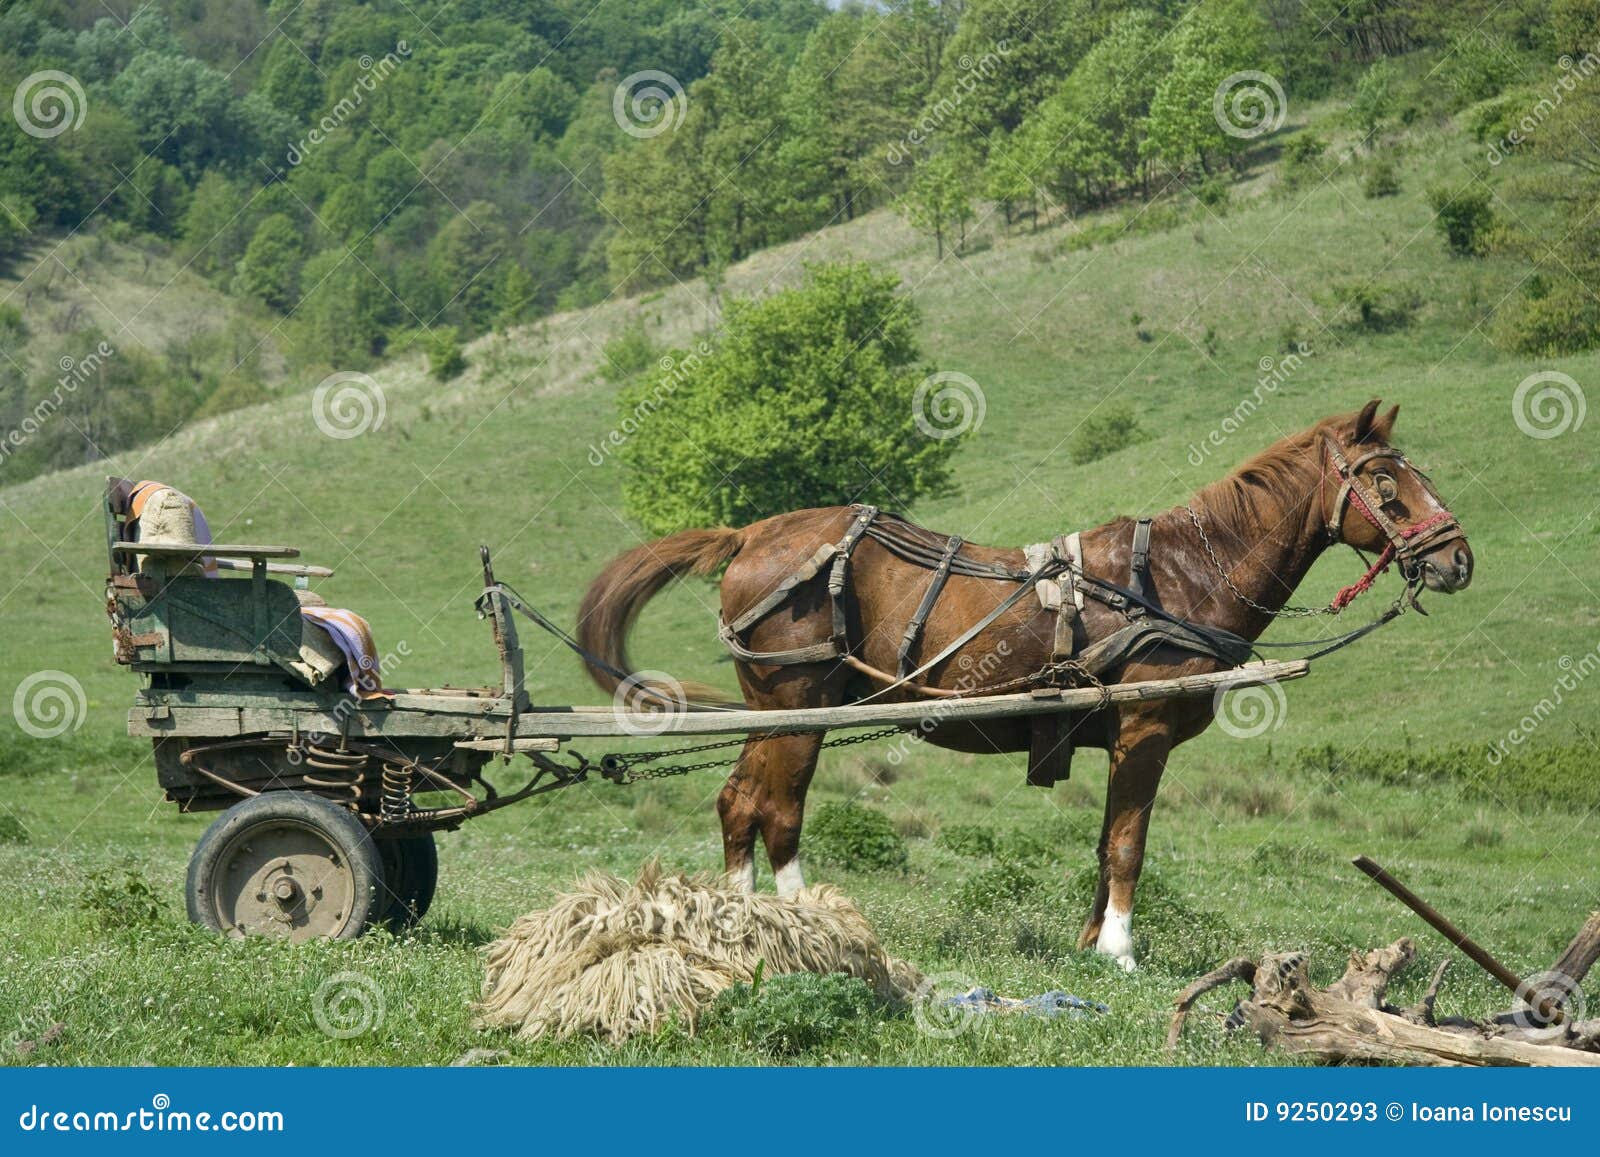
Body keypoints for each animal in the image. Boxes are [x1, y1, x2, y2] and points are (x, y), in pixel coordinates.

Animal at [576, 400, 1473, 969]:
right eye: (1387, 484)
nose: (1459, 559)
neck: (1180, 574)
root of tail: (751, 533)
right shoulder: (1145, 730)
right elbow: (1129, 842)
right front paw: (1121, 951)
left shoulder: (1121, 738)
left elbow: (1107, 839)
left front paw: (1090, 942)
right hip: (799, 706)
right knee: (775, 809)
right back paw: (800, 920)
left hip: (776, 709)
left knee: (738, 802)